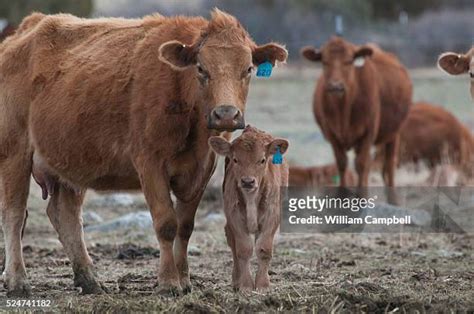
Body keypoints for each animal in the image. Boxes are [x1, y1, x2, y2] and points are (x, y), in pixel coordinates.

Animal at [208, 125, 288, 292]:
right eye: (235, 159)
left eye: (262, 160)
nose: (247, 181)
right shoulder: (234, 216)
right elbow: (243, 250)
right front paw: (245, 285)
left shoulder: (272, 216)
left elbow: (264, 249)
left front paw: (263, 284)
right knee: (232, 244)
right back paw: (236, 280)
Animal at [302, 38, 412, 199]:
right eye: (324, 61)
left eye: (348, 61)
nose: (335, 86)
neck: (343, 111)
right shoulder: (332, 134)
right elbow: (341, 162)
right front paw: (342, 192)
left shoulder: (368, 133)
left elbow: (361, 164)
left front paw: (362, 194)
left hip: (394, 133)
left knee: (389, 164)